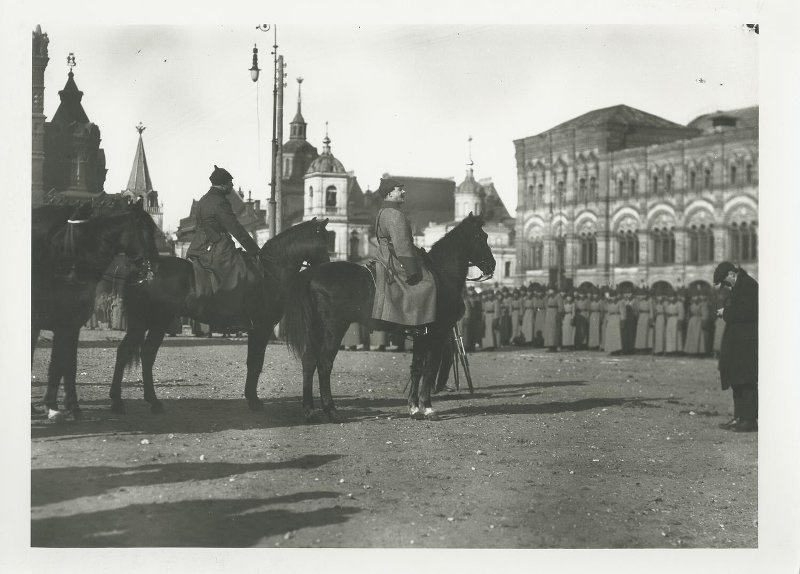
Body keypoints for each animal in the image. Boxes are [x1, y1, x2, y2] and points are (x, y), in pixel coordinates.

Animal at [31, 200, 159, 420]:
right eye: (145, 229)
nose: (155, 265)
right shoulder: (67, 326)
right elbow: (66, 364)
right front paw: (70, 406)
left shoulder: (66, 327)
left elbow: (60, 365)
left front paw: (54, 405)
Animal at [109, 219, 328, 414]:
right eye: (326, 240)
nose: (329, 268)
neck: (270, 272)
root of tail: (143, 270)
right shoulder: (262, 329)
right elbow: (256, 363)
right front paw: (255, 401)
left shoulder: (256, 330)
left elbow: (252, 362)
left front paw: (250, 397)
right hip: (157, 321)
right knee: (145, 354)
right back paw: (148, 402)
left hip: (141, 322)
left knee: (126, 352)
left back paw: (120, 401)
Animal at [282, 214, 494, 426]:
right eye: (481, 237)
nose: (492, 266)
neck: (441, 276)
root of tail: (312, 274)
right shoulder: (437, 335)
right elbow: (429, 370)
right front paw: (428, 408)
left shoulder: (422, 336)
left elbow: (417, 369)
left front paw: (414, 408)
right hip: (334, 330)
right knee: (324, 364)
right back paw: (332, 411)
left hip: (317, 331)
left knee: (309, 361)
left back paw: (310, 411)